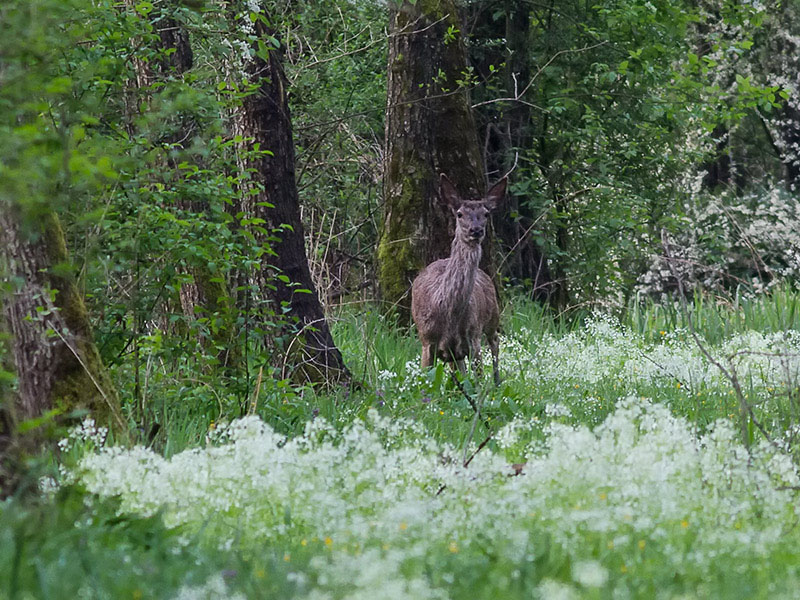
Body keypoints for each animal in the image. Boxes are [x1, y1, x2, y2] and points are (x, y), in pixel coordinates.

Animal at [412, 173, 506, 384]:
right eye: (459, 214)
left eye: (486, 214)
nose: (476, 230)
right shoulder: (426, 340)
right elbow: (425, 382)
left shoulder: (473, 335)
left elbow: (477, 380)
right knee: (460, 368)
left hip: (493, 315)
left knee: (495, 343)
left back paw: (497, 382)